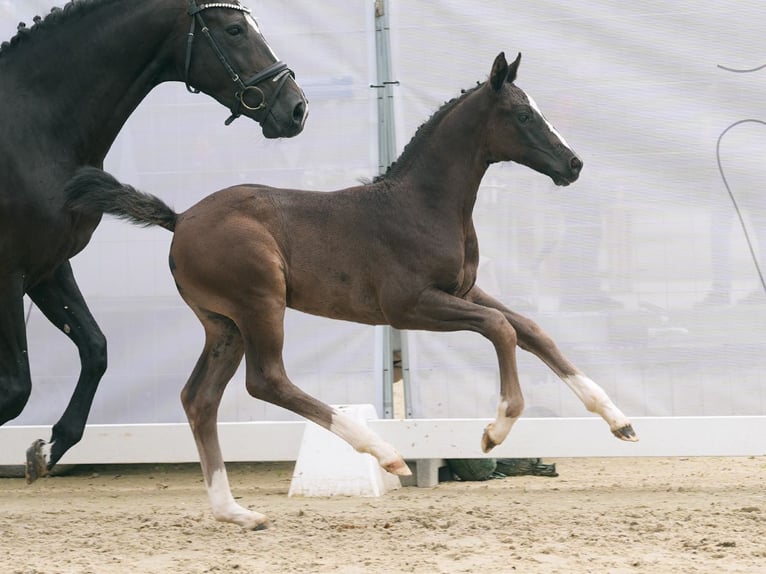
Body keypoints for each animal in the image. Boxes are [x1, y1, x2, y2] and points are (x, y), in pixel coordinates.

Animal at [3, 0, 308, 486]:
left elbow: (95, 349)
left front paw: (50, 447)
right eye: (235, 29)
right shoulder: (9, 273)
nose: (297, 107)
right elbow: (16, 388)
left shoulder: (47, 268)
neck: (31, 129)